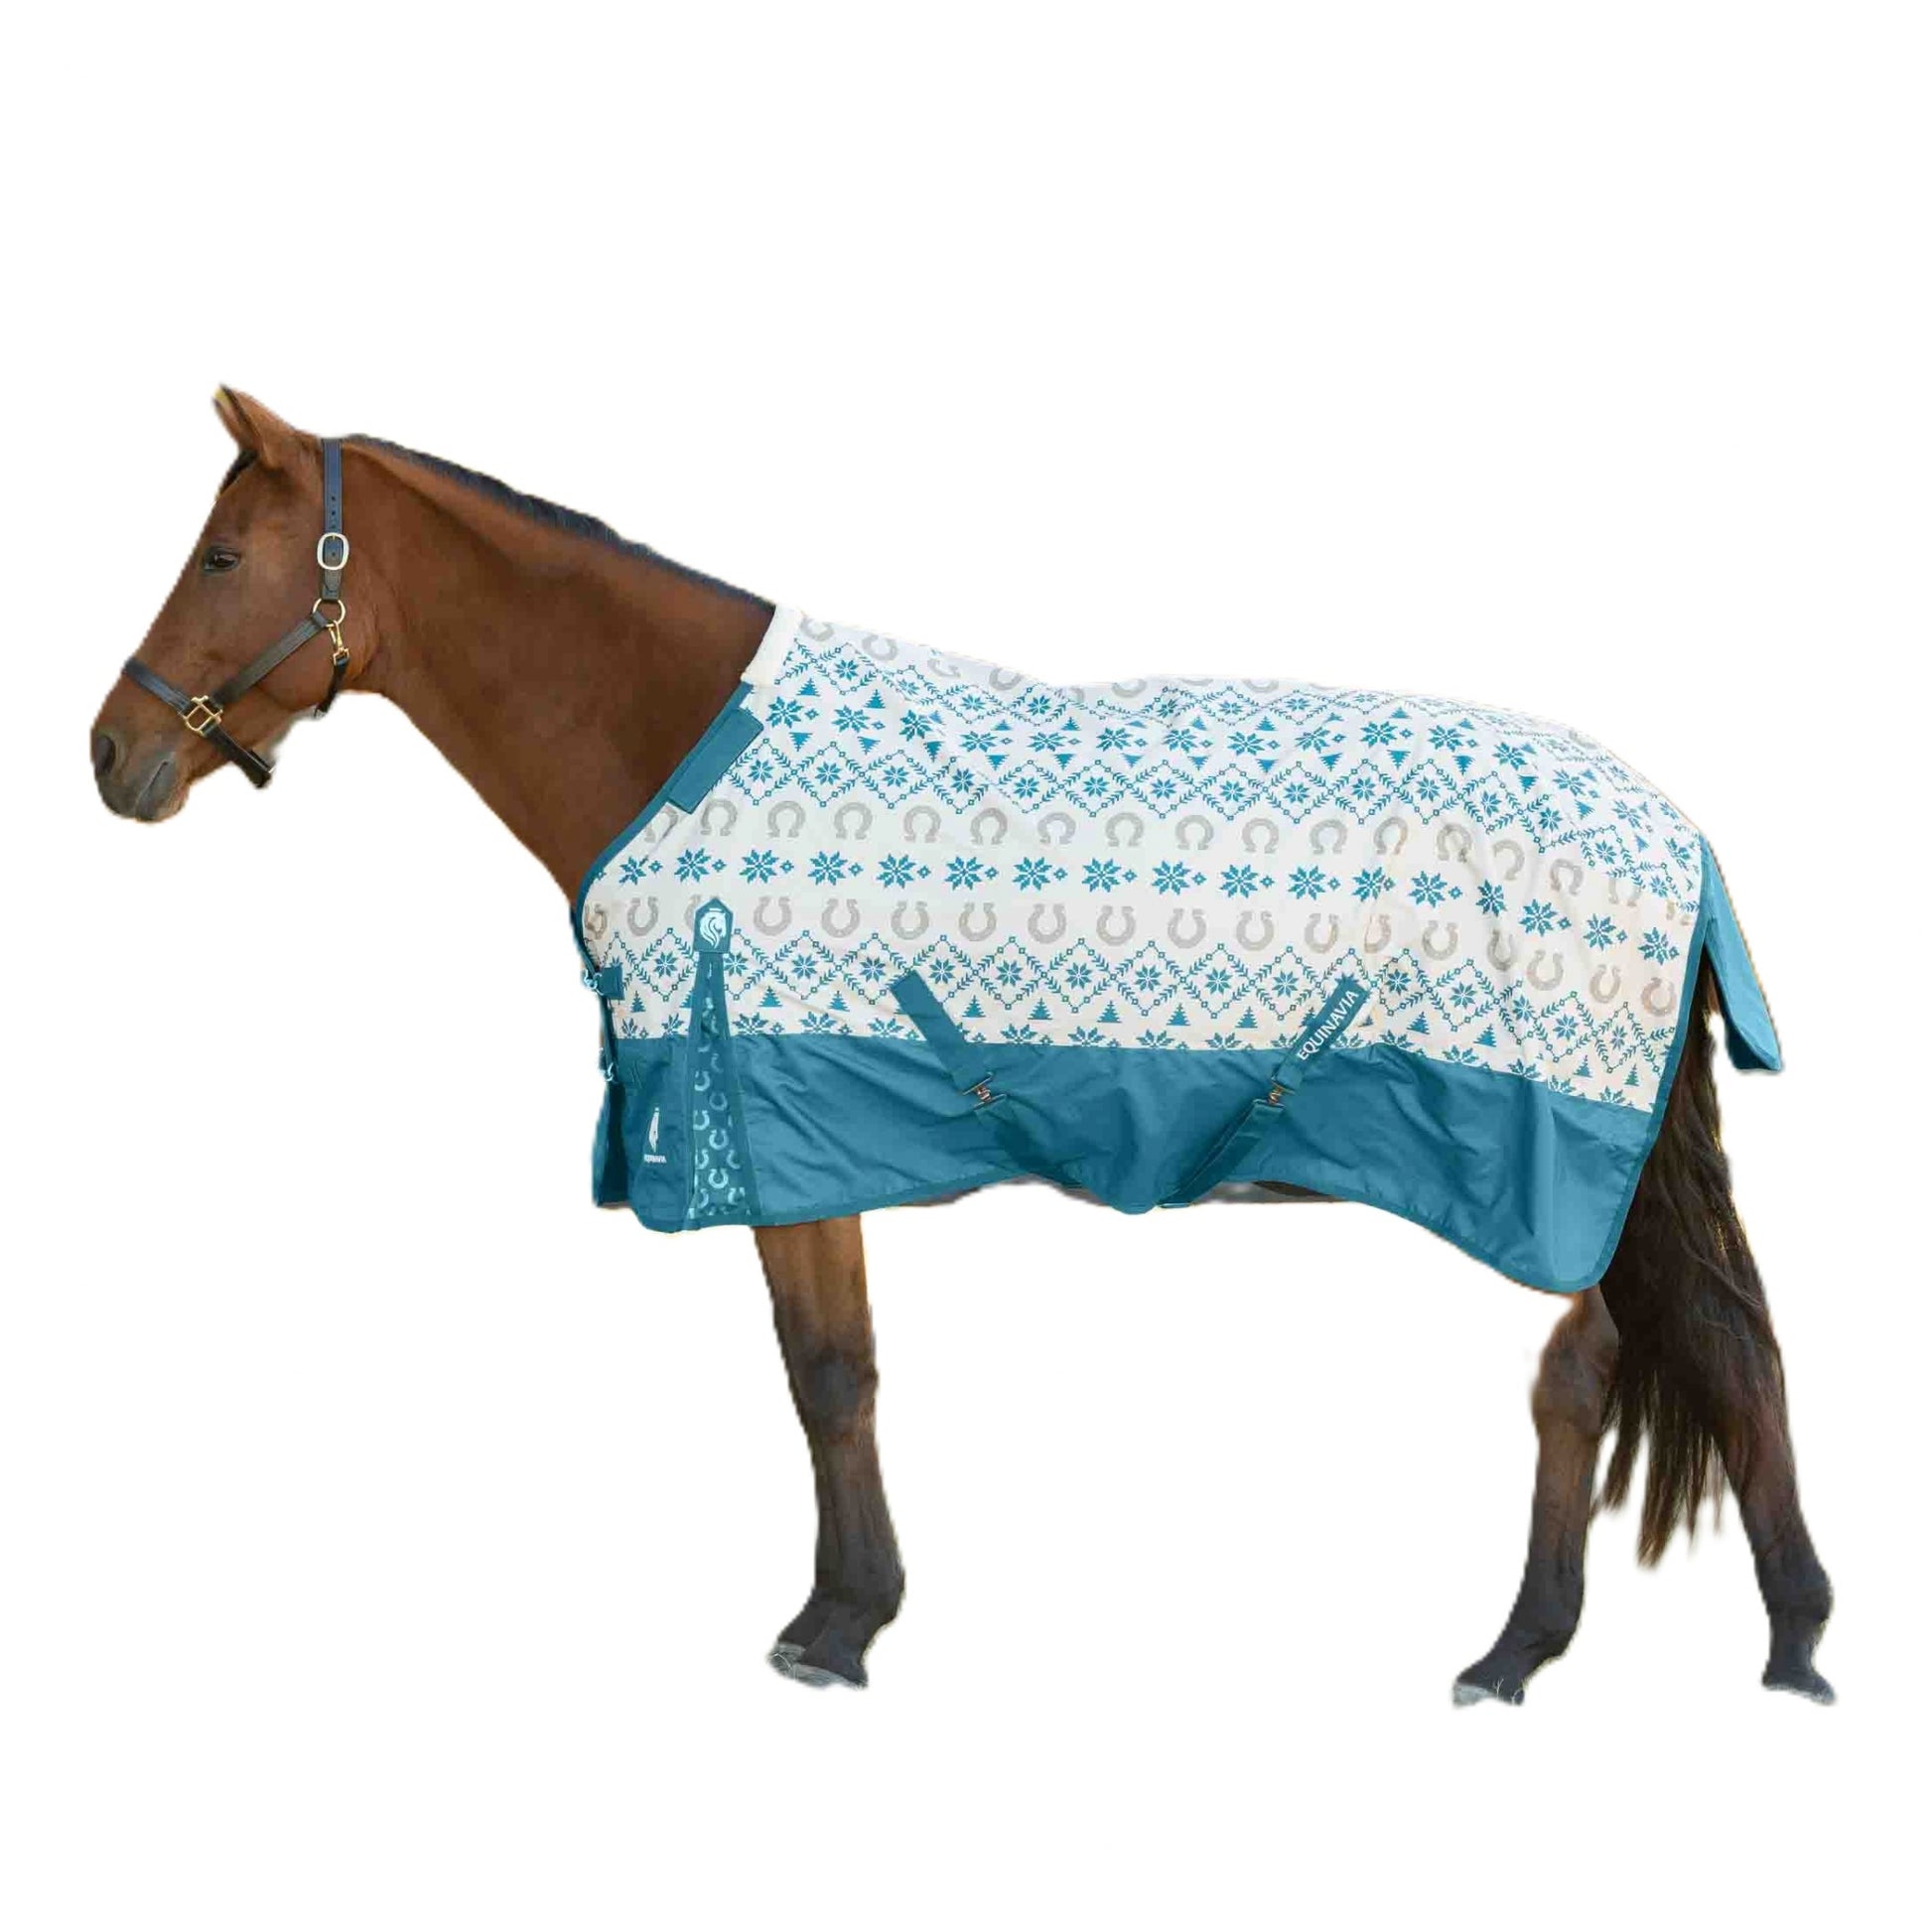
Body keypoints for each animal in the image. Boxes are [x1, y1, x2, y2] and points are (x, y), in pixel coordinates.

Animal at [90, 389, 1834, 1703]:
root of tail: (1679, 835)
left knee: (1614, 1367)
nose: (112, 752)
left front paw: (834, 1624)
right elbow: (836, 1369)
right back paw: (1642, 1646)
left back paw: (1642, 1649)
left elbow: (826, 1375)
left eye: (223, 550)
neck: (679, 745)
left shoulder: (780, 1130)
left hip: (1550, 1162)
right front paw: (853, 1606)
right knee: (1653, 1362)